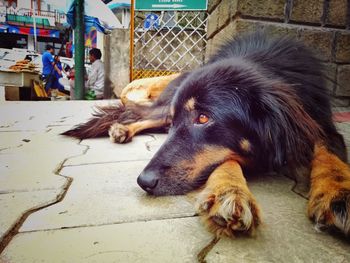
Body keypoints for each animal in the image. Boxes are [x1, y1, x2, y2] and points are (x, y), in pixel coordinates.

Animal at [63, 32, 350, 238]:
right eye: (178, 121)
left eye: (203, 118)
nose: (144, 181)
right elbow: (226, 160)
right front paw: (228, 191)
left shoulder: (321, 123)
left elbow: (331, 156)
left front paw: (338, 193)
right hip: (163, 108)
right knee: (141, 115)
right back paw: (121, 129)